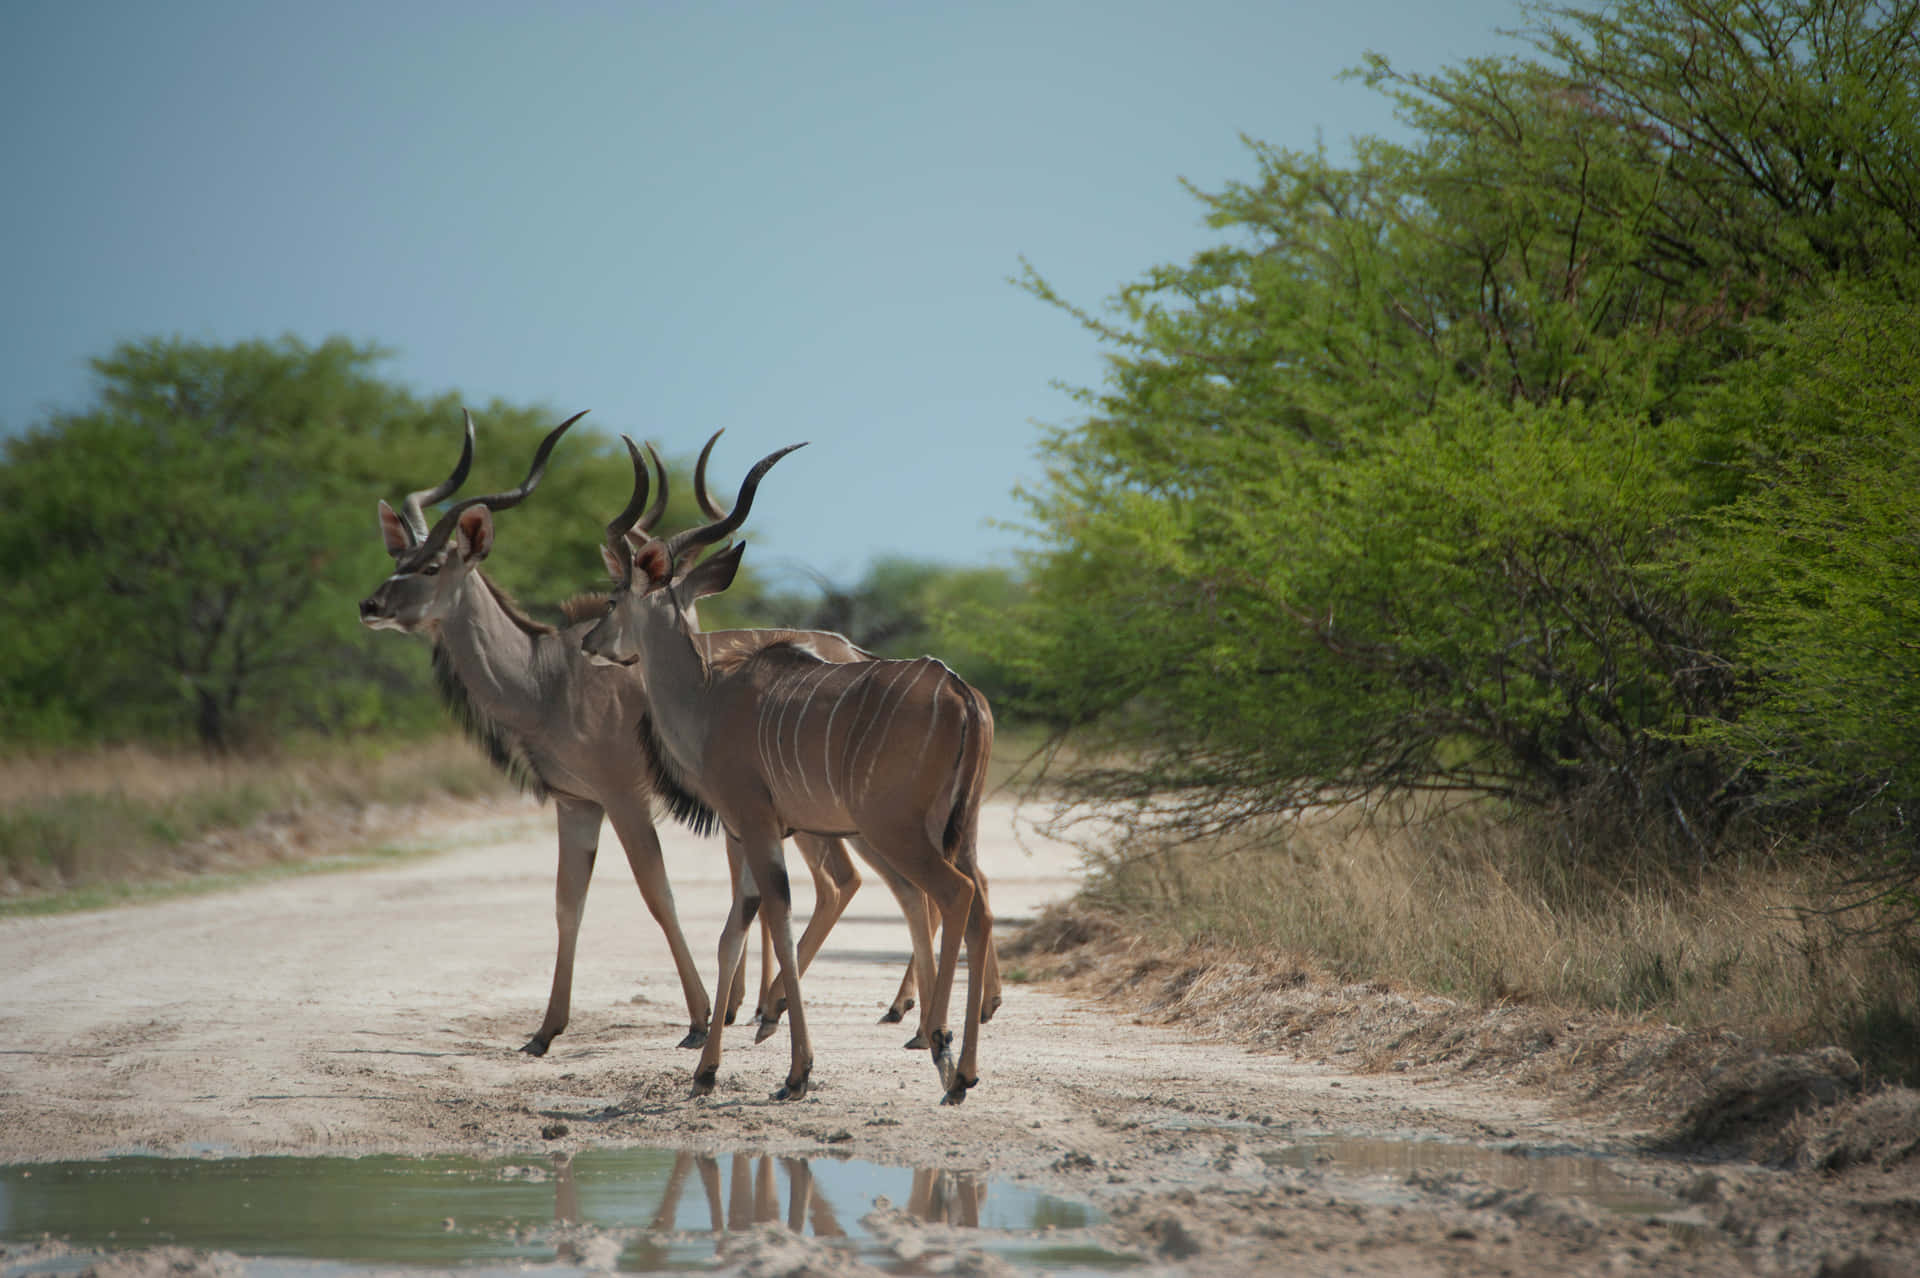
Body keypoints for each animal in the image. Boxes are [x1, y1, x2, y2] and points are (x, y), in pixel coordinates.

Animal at [359, 412, 898, 1051]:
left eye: (431, 566)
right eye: (397, 560)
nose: (370, 606)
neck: (546, 678)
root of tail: (851, 652)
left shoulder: (624, 798)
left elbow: (657, 893)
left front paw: (698, 1021)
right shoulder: (577, 804)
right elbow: (568, 903)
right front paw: (544, 1032)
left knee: (845, 882)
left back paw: (783, 1010)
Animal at [576, 435, 998, 1097]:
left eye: (616, 596)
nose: (590, 642)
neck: (707, 698)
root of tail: (958, 691)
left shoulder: (754, 823)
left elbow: (774, 918)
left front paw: (794, 1069)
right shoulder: (757, 832)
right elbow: (734, 932)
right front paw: (708, 1068)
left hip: (895, 830)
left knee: (953, 894)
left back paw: (940, 1047)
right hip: (957, 826)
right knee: (976, 900)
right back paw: (964, 1070)